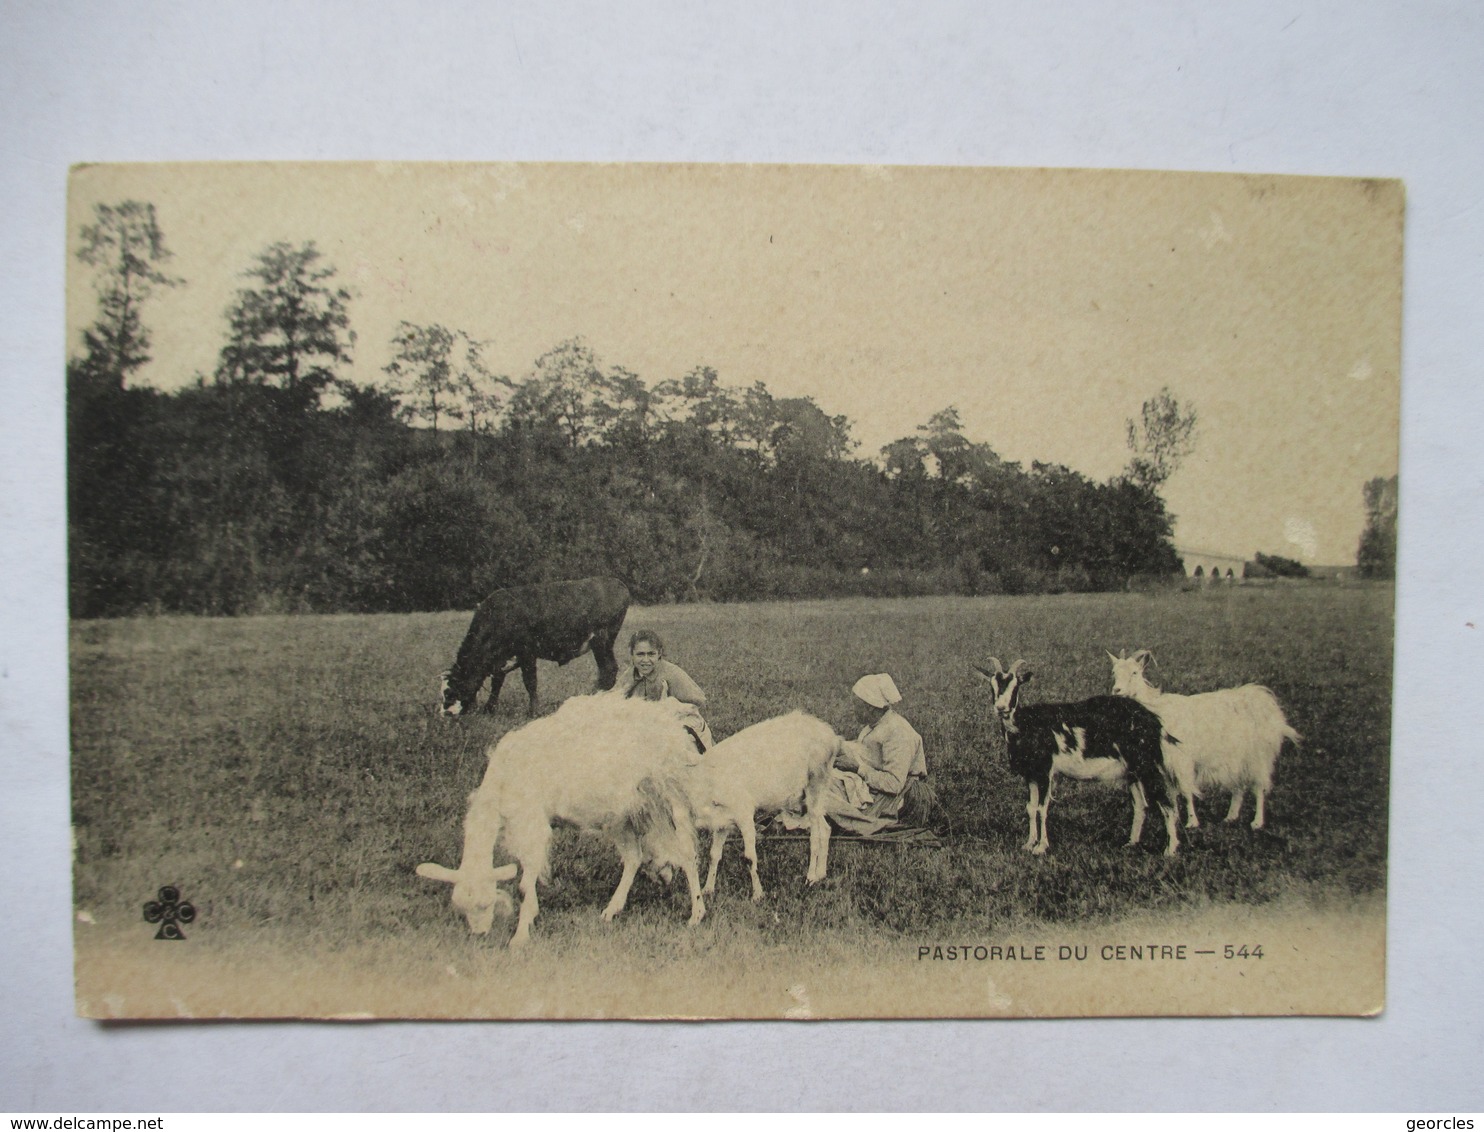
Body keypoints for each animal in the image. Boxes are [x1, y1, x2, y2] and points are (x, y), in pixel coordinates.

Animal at [418, 691, 706, 949]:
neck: (504, 778)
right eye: (461, 906)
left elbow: (524, 884)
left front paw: (520, 935)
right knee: (634, 857)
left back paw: (697, 913)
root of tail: (672, 722)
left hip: (671, 792)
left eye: (485, 902)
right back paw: (612, 909)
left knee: (687, 853)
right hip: (623, 812)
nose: (479, 934)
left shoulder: (532, 822)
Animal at [436, 575, 629, 718]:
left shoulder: (527, 652)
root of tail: (616, 583)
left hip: (601, 640)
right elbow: (497, 683)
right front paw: (489, 709)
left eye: (451, 691)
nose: (445, 714)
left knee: (608, 669)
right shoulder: (502, 658)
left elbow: (530, 682)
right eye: (442, 692)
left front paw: (533, 712)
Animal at [679, 712, 842, 896]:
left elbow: (749, 857)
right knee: (826, 828)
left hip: (816, 783)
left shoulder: (744, 814)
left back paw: (810, 878)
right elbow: (714, 854)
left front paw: (758, 894)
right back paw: (821, 874)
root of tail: (832, 737)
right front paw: (708, 889)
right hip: (808, 797)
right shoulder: (722, 822)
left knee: (814, 835)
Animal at [973, 658, 1181, 854]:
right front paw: (1028, 844)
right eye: (992, 685)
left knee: (1167, 804)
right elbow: (1031, 808)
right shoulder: (1030, 774)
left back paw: (1169, 850)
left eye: (1016, 686)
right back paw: (1131, 843)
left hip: (1146, 765)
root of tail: (1153, 720)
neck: (1027, 724)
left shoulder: (1045, 771)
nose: (1001, 708)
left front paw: (1041, 847)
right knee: (1140, 804)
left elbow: (1042, 808)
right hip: (1132, 771)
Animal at [1104, 649, 1299, 830]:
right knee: (1239, 786)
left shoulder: (1182, 761)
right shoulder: (1165, 764)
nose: (1117, 691)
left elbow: (1186, 791)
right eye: (1114, 672)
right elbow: (1172, 793)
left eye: (1135, 672)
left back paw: (1257, 822)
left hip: (1257, 756)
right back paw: (1231, 816)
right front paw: (1174, 818)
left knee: (1259, 786)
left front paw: (1192, 822)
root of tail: (1261, 700)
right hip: (1238, 758)